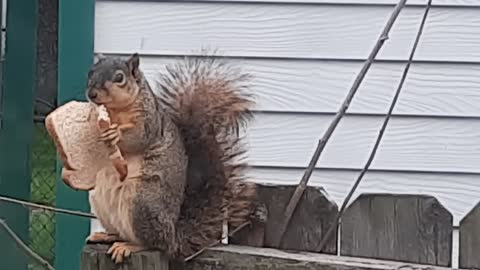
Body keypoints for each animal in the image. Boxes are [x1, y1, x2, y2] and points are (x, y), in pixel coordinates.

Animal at [84, 53, 260, 264]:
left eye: (119, 78)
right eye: (90, 72)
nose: (92, 94)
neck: (114, 111)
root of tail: (174, 237)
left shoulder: (149, 120)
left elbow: (139, 137)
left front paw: (116, 133)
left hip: (143, 204)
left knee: (155, 243)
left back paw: (129, 246)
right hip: (99, 200)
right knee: (122, 232)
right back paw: (106, 235)